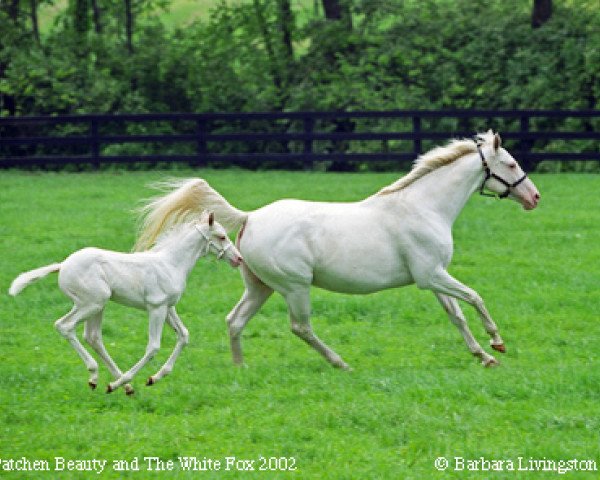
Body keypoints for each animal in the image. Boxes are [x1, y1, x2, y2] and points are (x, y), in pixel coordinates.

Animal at [9, 213, 241, 394]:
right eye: (221, 236)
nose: (238, 259)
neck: (170, 263)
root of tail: (63, 264)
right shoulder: (156, 307)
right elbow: (153, 347)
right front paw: (128, 381)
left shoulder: (168, 307)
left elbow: (183, 336)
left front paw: (154, 377)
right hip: (92, 303)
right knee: (65, 326)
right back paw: (101, 377)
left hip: (95, 305)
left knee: (92, 337)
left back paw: (114, 384)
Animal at [134, 133, 540, 370]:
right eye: (511, 163)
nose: (534, 197)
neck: (422, 207)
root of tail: (250, 218)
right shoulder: (431, 276)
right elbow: (475, 297)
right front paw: (497, 342)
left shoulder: (434, 277)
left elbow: (456, 315)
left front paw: (483, 356)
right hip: (295, 287)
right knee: (300, 326)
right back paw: (340, 363)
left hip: (260, 288)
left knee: (235, 320)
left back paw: (241, 368)